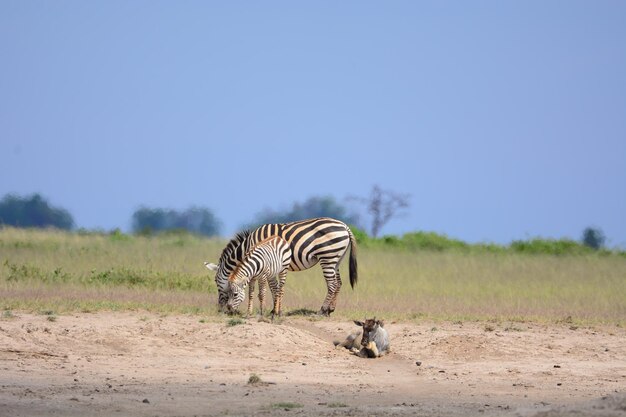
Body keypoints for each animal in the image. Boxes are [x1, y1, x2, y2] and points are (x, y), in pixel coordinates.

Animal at [205, 218, 356, 316]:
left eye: (216, 282)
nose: (220, 310)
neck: (248, 245)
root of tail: (345, 226)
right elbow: (274, 287)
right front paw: (274, 310)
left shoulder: (265, 262)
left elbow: (271, 288)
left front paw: (272, 310)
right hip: (336, 259)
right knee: (338, 283)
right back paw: (330, 310)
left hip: (327, 257)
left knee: (332, 284)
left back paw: (322, 310)